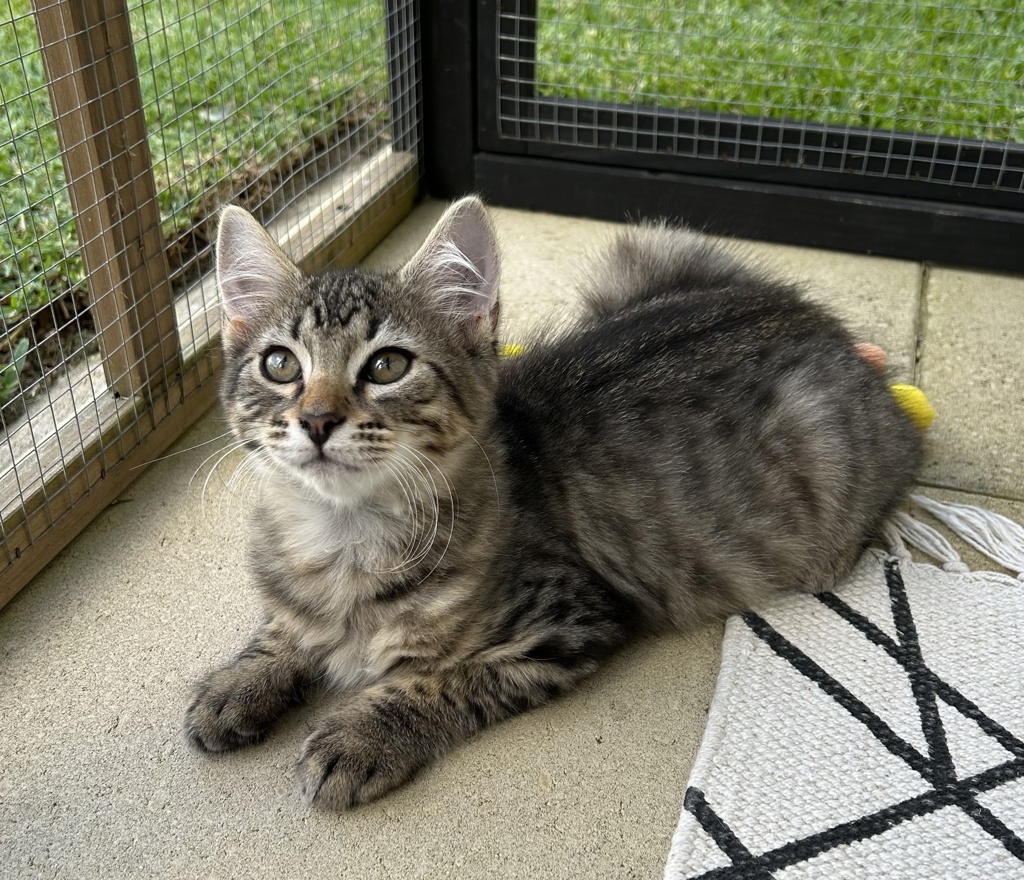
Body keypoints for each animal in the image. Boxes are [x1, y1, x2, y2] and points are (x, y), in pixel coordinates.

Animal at [184, 196, 922, 809]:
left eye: (387, 366)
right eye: (281, 365)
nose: (315, 420)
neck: (342, 534)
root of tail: (825, 329)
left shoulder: (570, 622)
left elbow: (439, 681)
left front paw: (362, 735)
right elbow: (281, 628)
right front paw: (239, 682)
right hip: (646, 253)